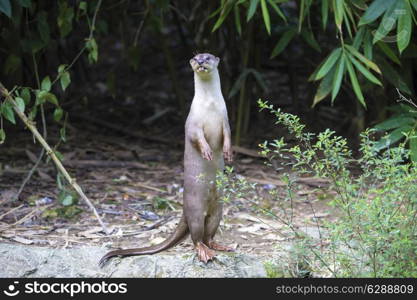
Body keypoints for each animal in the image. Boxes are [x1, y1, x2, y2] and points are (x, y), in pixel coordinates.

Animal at [99, 53, 232, 264]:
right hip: (195, 208)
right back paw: (204, 252)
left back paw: (221, 246)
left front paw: (228, 151)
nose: (200, 62)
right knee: (196, 236)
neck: (210, 107)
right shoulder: (192, 123)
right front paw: (206, 151)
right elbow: (196, 137)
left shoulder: (225, 120)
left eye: (208, 57)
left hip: (218, 210)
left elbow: (227, 135)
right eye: (195, 57)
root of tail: (184, 209)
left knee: (209, 234)